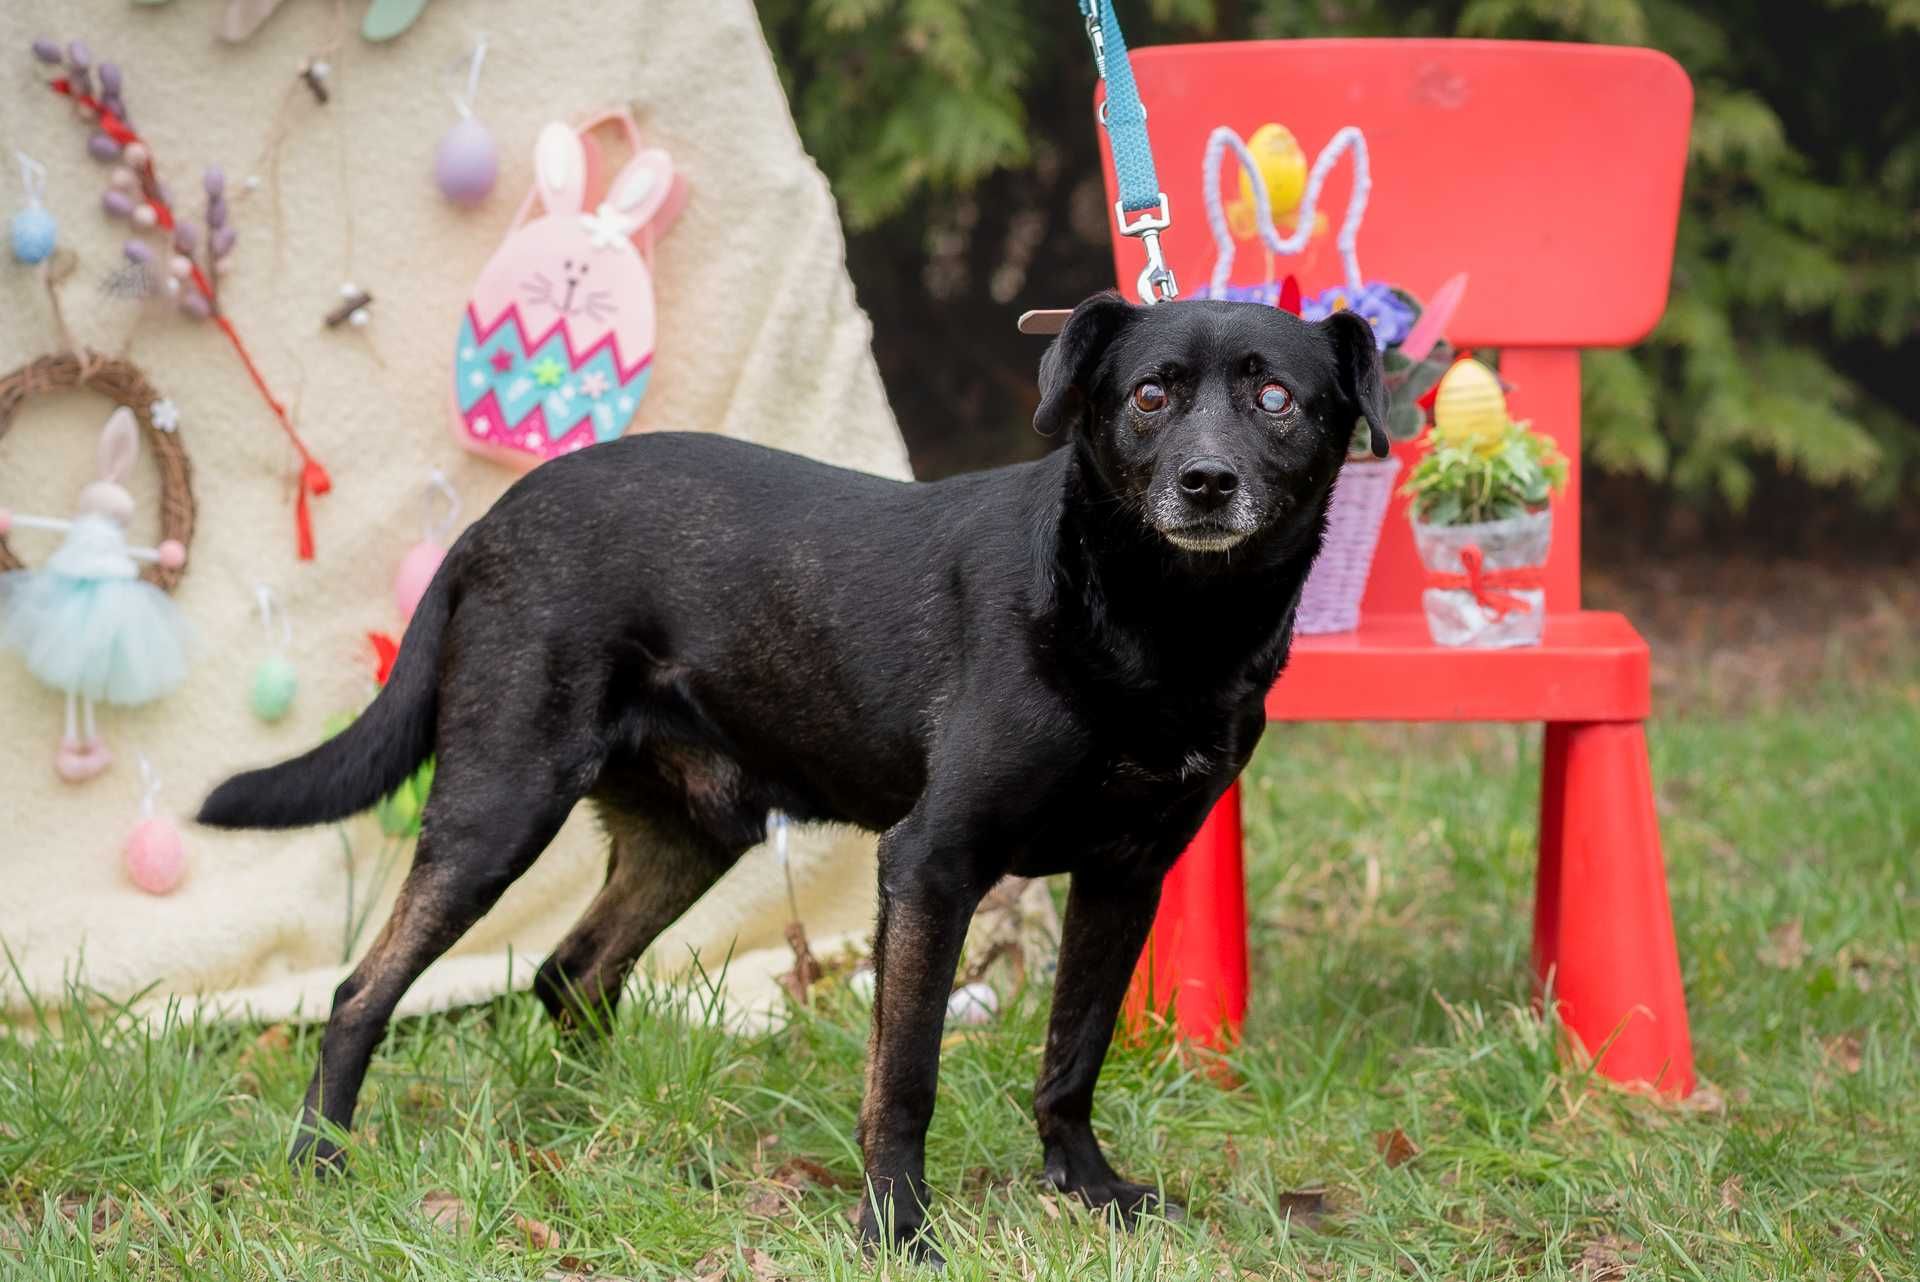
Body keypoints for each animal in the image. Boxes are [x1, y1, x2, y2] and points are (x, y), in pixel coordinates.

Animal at [202, 293, 1390, 1258]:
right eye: (1149, 395)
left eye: (1275, 397)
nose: (1205, 482)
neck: (1160, 627)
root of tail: (487, 524)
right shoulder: (932, 863)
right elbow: (904, 1074)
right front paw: (897, 1230)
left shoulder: (1126, 873)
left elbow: (1075, 1049)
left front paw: (1088, 1190)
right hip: (499, 807)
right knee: (361, 990)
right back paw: (320, 1161)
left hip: (691, 835)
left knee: (570, 972)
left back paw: (593, 1130)